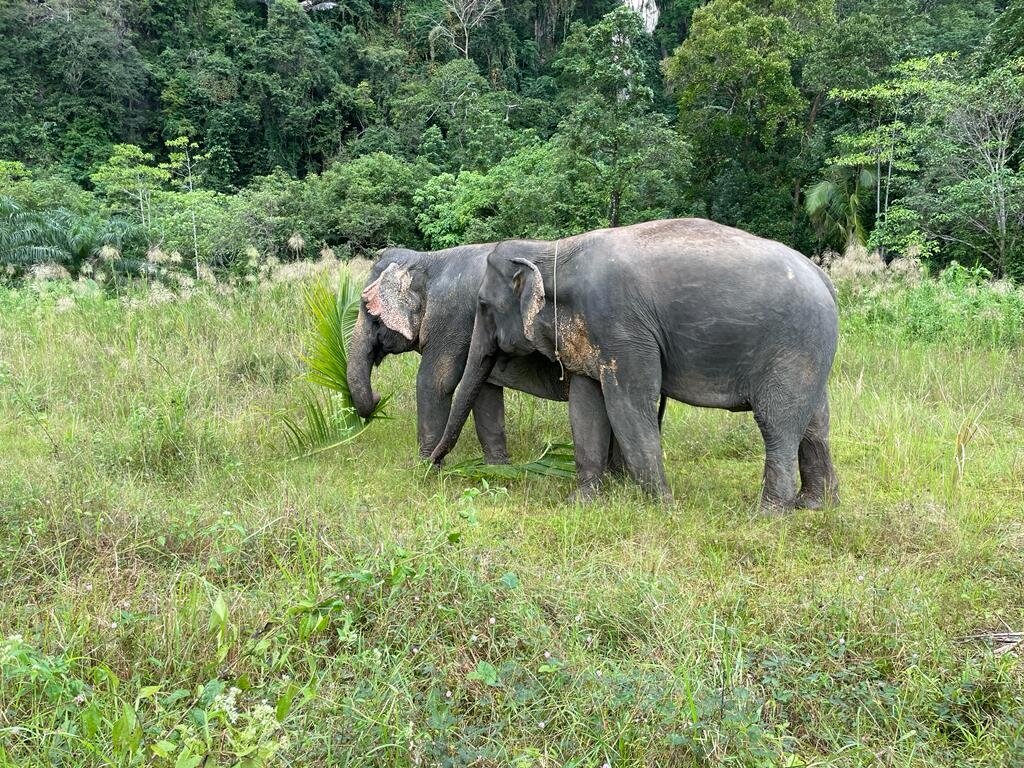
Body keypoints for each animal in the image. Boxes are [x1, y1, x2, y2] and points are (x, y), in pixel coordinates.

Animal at [430, 218, 839, 518]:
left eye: (483, 305)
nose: (433, 467)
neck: (554, 250)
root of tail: (825, 279)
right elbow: (586, 407)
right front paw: (582, 503)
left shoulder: (620, 325)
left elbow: (629, 405)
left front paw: (663, 508)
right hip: (811, 353)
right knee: (815, 425)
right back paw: (816, 506)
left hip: (792, 347)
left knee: (777, 424)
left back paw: (769, 514)